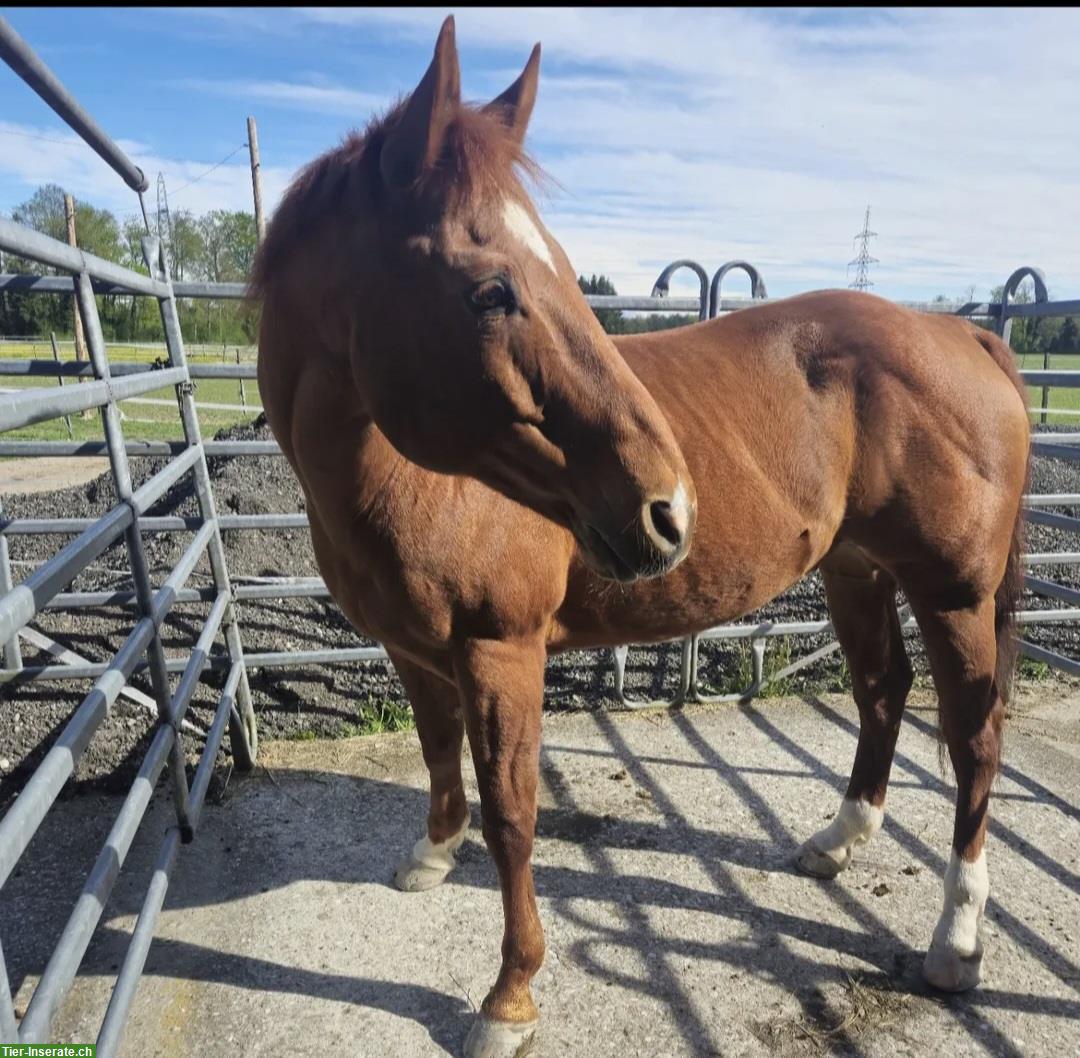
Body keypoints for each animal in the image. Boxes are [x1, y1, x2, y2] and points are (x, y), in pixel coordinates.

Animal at [252, 17, 1030, 1058]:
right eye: (491, 290)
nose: (671, 511)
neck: (401, 478)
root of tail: (961, 334)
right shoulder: (412, 648)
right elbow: (436, 748)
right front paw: (430, 856)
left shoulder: (500, 650)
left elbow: (513, 815)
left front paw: (509, 997)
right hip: (857, 570)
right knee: (881, 692)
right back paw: (836, 843)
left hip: (953, 591)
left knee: (974, 736)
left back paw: (955, 941)